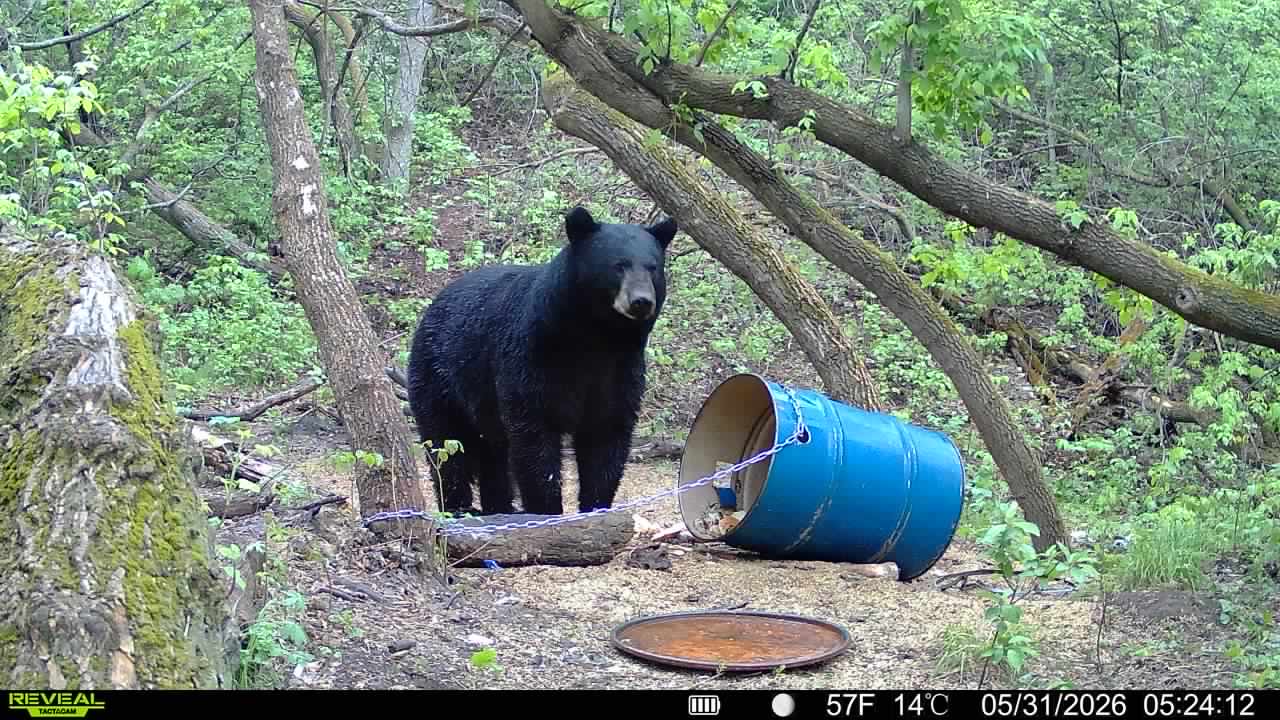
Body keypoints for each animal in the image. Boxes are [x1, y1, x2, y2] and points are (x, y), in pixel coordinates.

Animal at [406, 205, 677, 517]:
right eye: (618, 265)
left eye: (652, 267)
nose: (641, 301)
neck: (596, 336)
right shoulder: (531, 357)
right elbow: (534, 434)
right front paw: (547, 509)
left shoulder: (620, 368)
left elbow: (607, 433)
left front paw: (596, 506)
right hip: (439, 379)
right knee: (447, 447)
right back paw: (458, 508)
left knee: (492, 456)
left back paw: (499, 507)